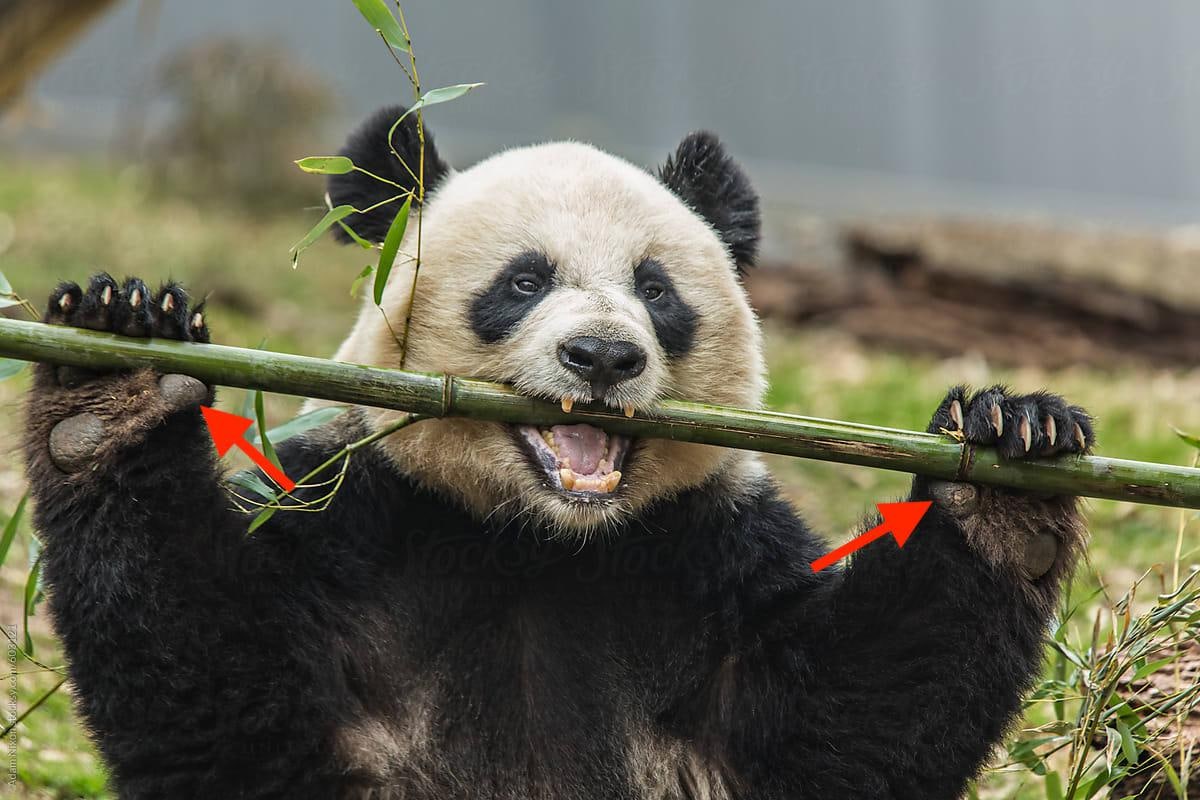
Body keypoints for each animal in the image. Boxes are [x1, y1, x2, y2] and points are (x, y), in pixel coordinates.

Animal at [23, 107, 1094, 800]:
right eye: (524, 281)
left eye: (656, 290)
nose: (605, 356)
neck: (540, 541)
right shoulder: (354, 519)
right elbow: (218, 705)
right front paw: (112, 375)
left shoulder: (707, 552)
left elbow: (851, 732)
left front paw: (1010, 454)